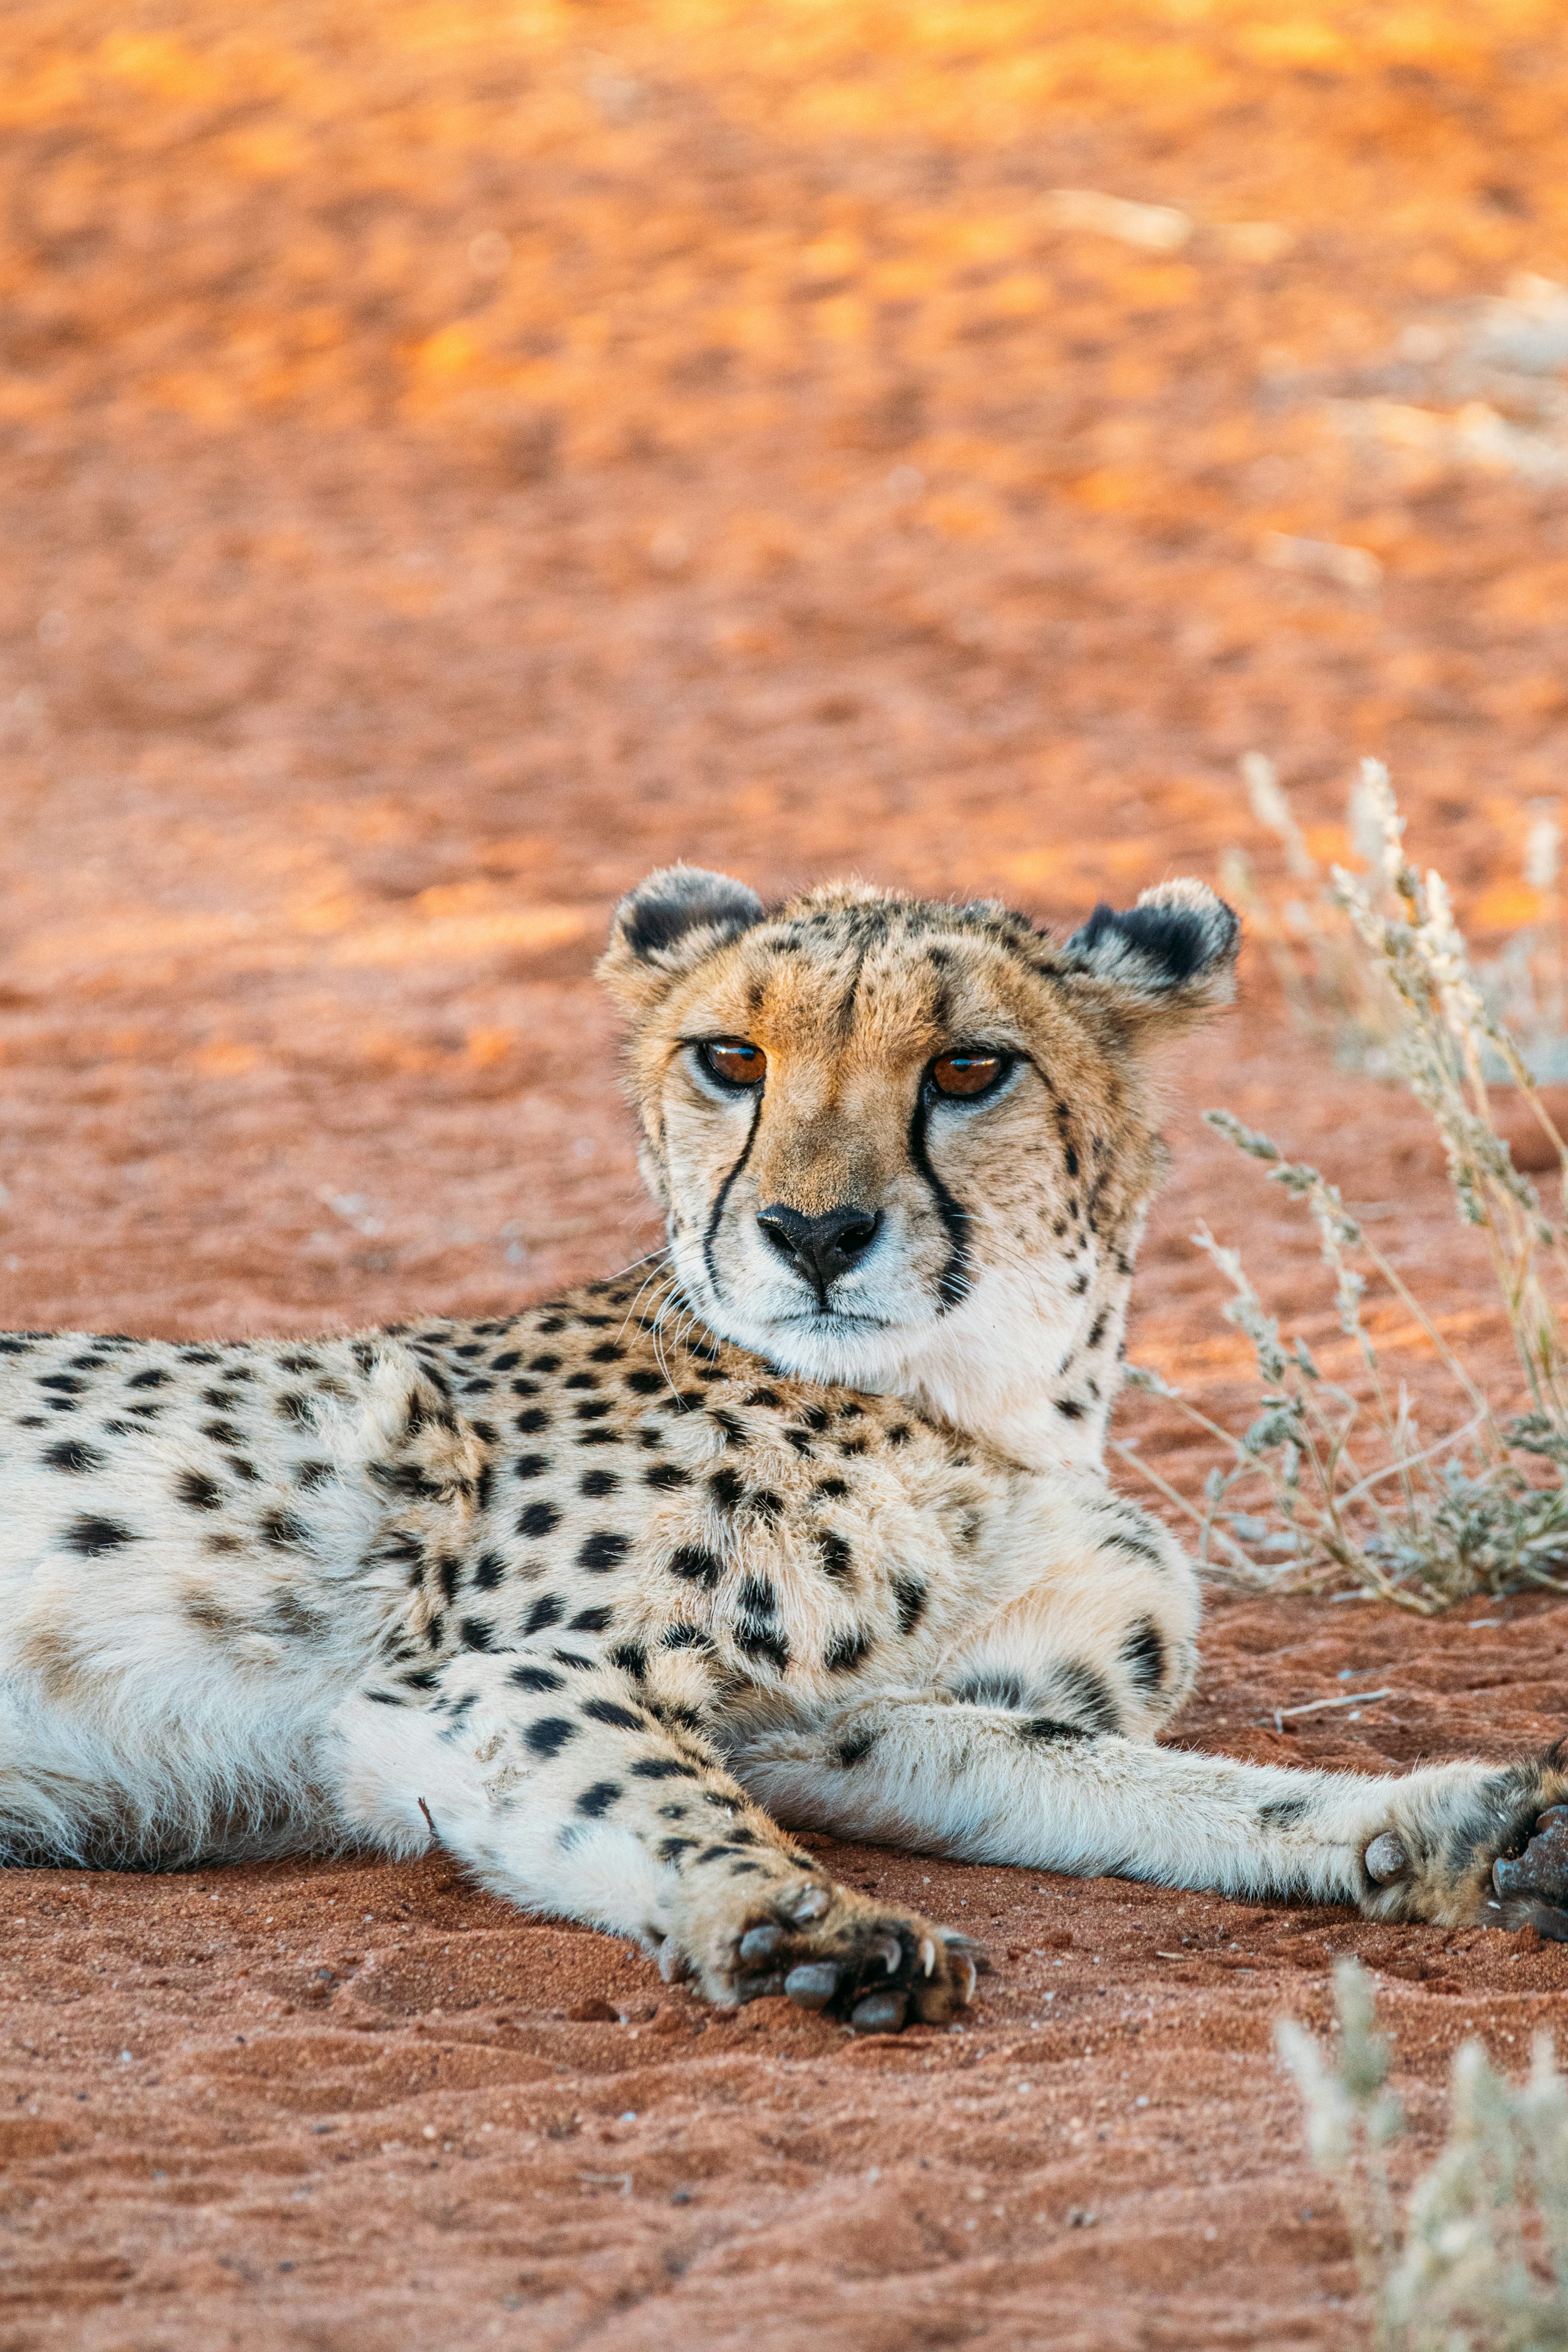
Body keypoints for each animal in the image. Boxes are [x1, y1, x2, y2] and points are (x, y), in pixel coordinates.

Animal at [3, 863, 1567, 2036]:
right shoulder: (473, 1677)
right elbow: (655, 1791)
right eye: (730, 1057)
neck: (982, 1406)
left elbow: (1111, 1770)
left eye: (969, 1067)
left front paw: (1454, 1827)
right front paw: (811, 1923)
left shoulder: (827, 1727)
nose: (814, 1232)